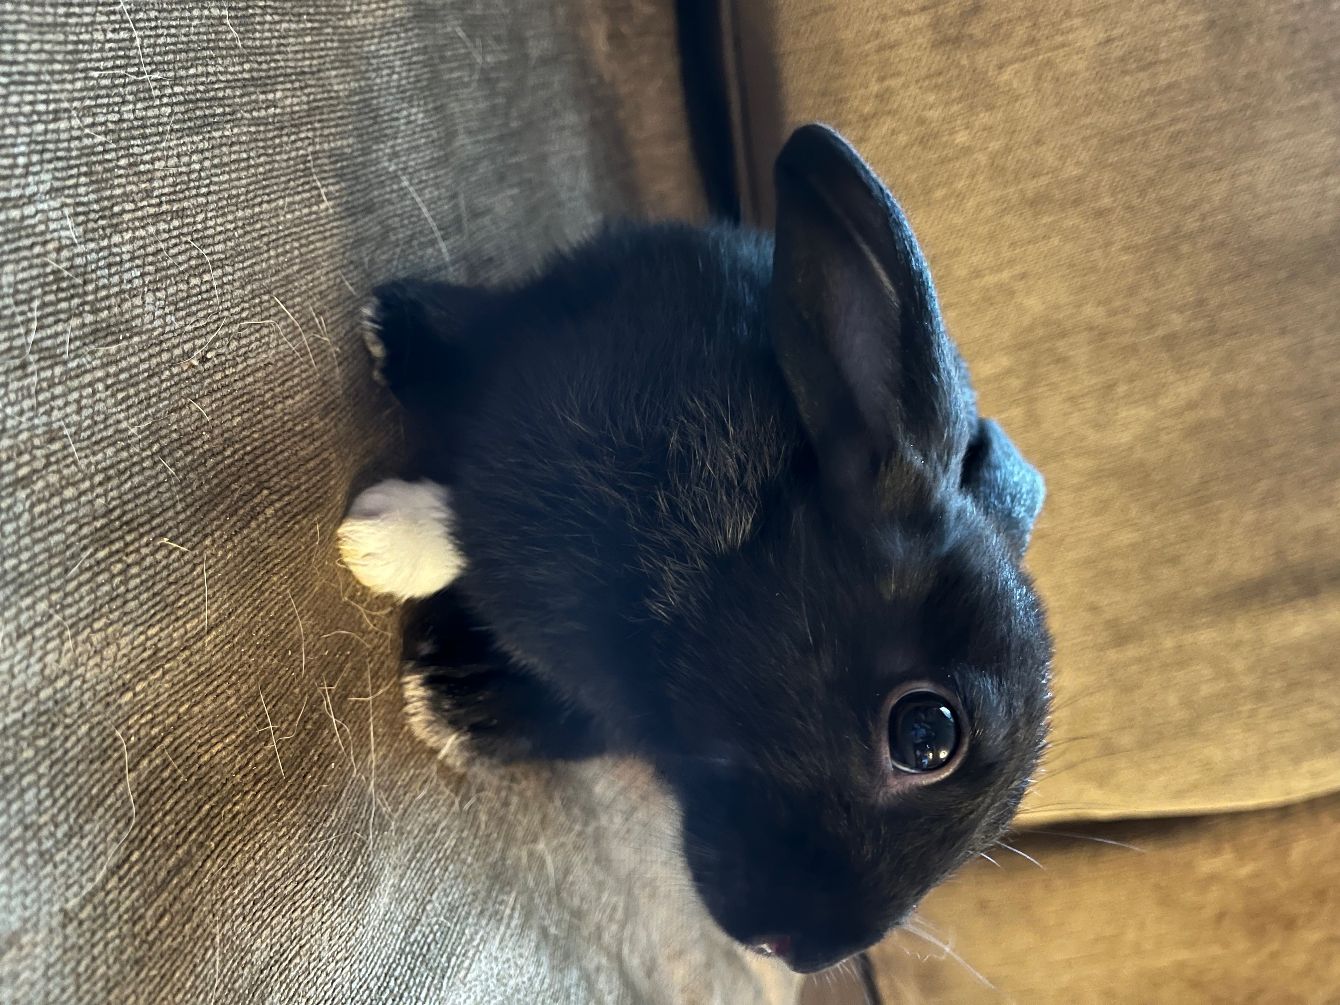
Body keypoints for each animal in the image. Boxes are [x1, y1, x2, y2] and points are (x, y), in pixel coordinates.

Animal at [337, 124, 1051, 974]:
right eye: (925, 734)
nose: (794, 949)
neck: (727, 559)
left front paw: (438, 687)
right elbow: (479, 487)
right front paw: (381, 533)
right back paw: (394, 330)